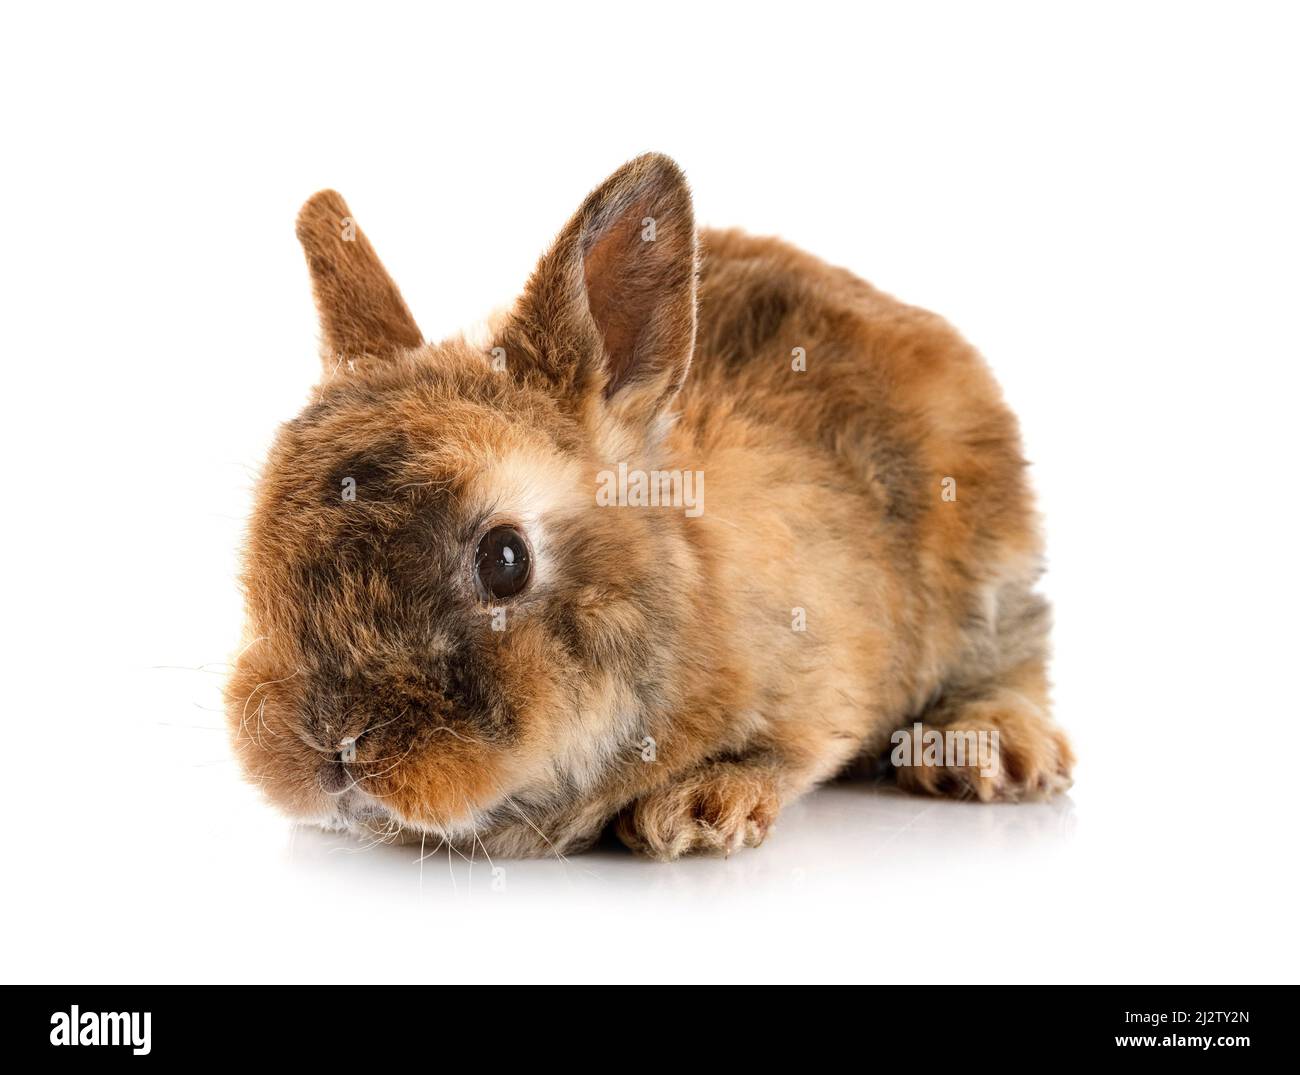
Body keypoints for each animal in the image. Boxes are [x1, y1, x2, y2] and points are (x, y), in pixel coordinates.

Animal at [225, 152, 1073, 860]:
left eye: (505, 559)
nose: (333, 741)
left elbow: (791, 749)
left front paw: (698, 810)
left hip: (992, 576)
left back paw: (989, 751)